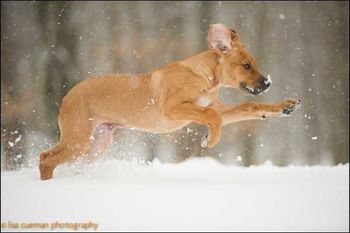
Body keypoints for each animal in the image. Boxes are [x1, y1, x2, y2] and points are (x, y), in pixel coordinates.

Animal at [38, 23, 300, 180]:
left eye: (254, 64)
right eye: (246, 65)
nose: (267, 83)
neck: (205, 77)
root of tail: (67, 97)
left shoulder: (217, 107)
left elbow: (249, 106)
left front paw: (284, 106)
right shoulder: (172, 108)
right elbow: (211, 116)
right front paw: (210, 139)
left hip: (96, 143)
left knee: (53, 158)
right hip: (78, 139)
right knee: (46, 159)